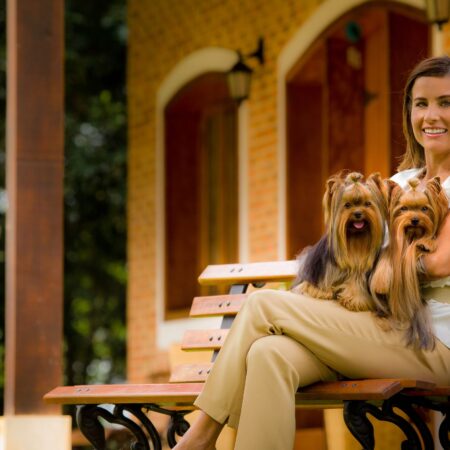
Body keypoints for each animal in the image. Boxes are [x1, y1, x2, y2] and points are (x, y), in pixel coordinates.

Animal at [292, 171, 388, 312]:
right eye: (347, 205)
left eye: (367, 204)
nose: (358, 213)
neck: (354, 239)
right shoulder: (323, 268)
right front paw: (321, 291)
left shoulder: (359, 268)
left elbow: (356, 281)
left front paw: (354, 299)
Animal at [369, 177, 448, 349]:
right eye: (403, 209)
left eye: (425, 209)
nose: (415, 220)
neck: (411, 236)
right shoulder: (390, 250)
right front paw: (381, 282)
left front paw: (425, 243)